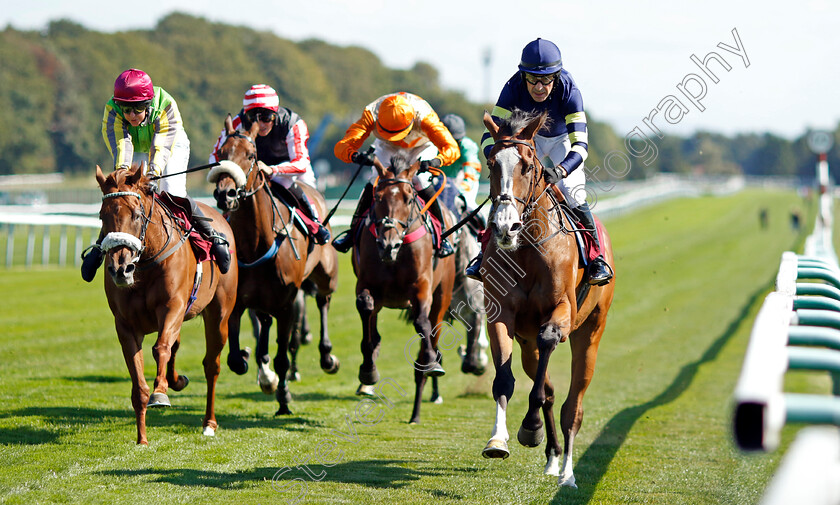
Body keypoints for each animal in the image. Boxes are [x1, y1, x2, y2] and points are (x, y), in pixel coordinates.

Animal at [96, 163, 238, 442]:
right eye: (101, 216)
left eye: (136, 215)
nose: (120, 270)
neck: (146, 264)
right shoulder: (126, 325)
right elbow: (139, 386)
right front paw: (141, 439)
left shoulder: (172, 306)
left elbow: (160, 348)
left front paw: (160, 392)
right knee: (177, 345)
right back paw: (177, 380)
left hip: (219, 315)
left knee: (211, 366)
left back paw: (209, 422)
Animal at [208, 118, 340, 414]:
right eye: (221, 154)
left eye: (251, 155)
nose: (225, 194)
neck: (257, 243)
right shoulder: (238, 302)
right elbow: (236, 359)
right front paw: (255, 364)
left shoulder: (287, 304)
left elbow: (283, 355)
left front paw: (284, 399)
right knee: (265, 324)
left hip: (325, 274)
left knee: (324, 301)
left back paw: (327, 356)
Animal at [354, 154, 460, 426]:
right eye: (377, 197)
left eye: (409, 198)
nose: (388, 244)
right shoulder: (366, 283)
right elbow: (365, 310)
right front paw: (368, 370)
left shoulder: (422, 287)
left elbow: (422, 324)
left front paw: (432, 362)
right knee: (373, 326)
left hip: (443, 296)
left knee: (431, 330)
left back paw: (416, 412)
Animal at [480, 108, 616, 486]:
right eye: (490, 162)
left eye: (528, 166)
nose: (504, 227)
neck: (527, 248)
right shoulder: (500, 315)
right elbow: (505, 380)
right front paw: (500, 439)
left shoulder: (563, 312)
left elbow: (550, 342)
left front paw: (530, 426)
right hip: (526, 343)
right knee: (549, 387)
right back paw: (552, 456)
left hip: (591, 333)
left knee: (573, 404)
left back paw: (567, 472)